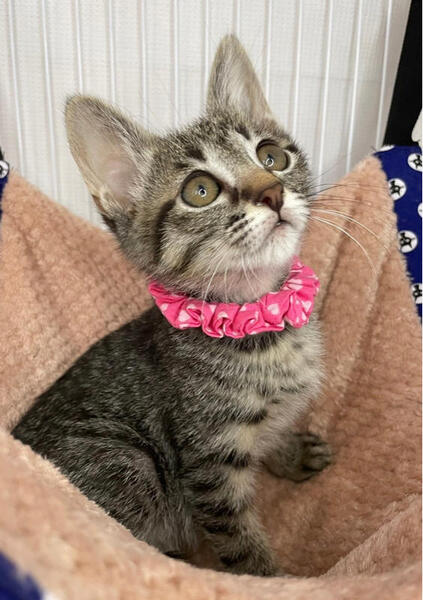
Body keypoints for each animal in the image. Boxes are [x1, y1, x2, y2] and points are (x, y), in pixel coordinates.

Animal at [12, 35, 331, 577]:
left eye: (271, 156)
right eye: (199, 191)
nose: (272, 191)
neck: (261, 322)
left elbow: (273, 431)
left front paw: (289, 452)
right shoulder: (208, 462)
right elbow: (241, 544)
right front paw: (274, 580)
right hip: (129, 462)